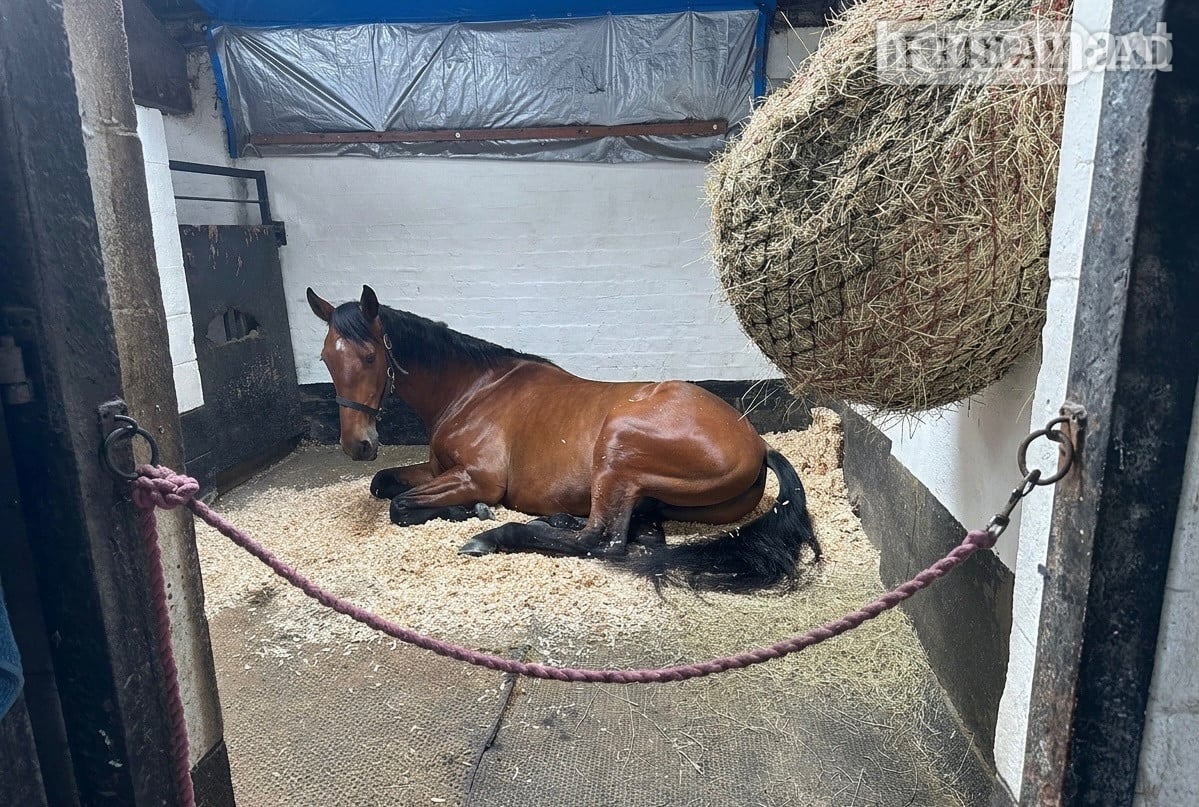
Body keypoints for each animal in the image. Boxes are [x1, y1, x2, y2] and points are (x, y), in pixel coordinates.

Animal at [307, 284, 819, 593]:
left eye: (370, 357)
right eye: (326, 358)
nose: (357, 445)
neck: (475, 389)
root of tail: (758, 444)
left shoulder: (477, 476)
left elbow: (401, 505)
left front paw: (470, 512)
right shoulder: (438, 469)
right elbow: (385, 485)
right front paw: (457, 509)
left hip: (617, 452)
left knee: (603, 541)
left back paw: (495, 535)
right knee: (638, 531)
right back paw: (556, 520)